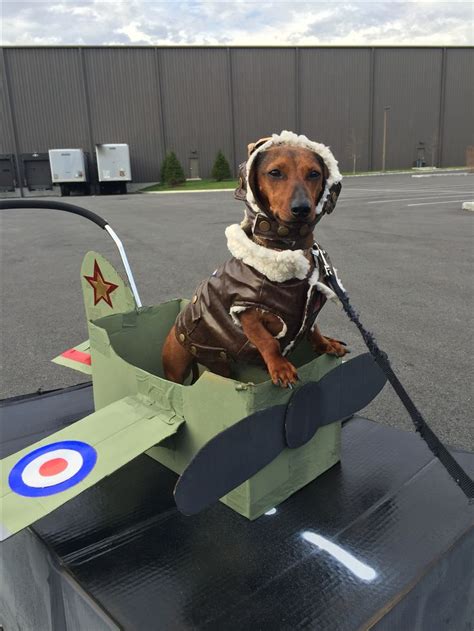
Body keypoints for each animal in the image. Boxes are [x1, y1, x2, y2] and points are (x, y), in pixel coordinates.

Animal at [163, 131, 348, 388]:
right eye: (275, 172)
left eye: (314, 173)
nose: (302, 208)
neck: (285, 251)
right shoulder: (245, 310)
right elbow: (267, 341)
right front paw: (280, 367)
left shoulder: (311, 304)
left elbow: (313, 328)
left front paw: (326, 345)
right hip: (176, 365)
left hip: (220, 365)